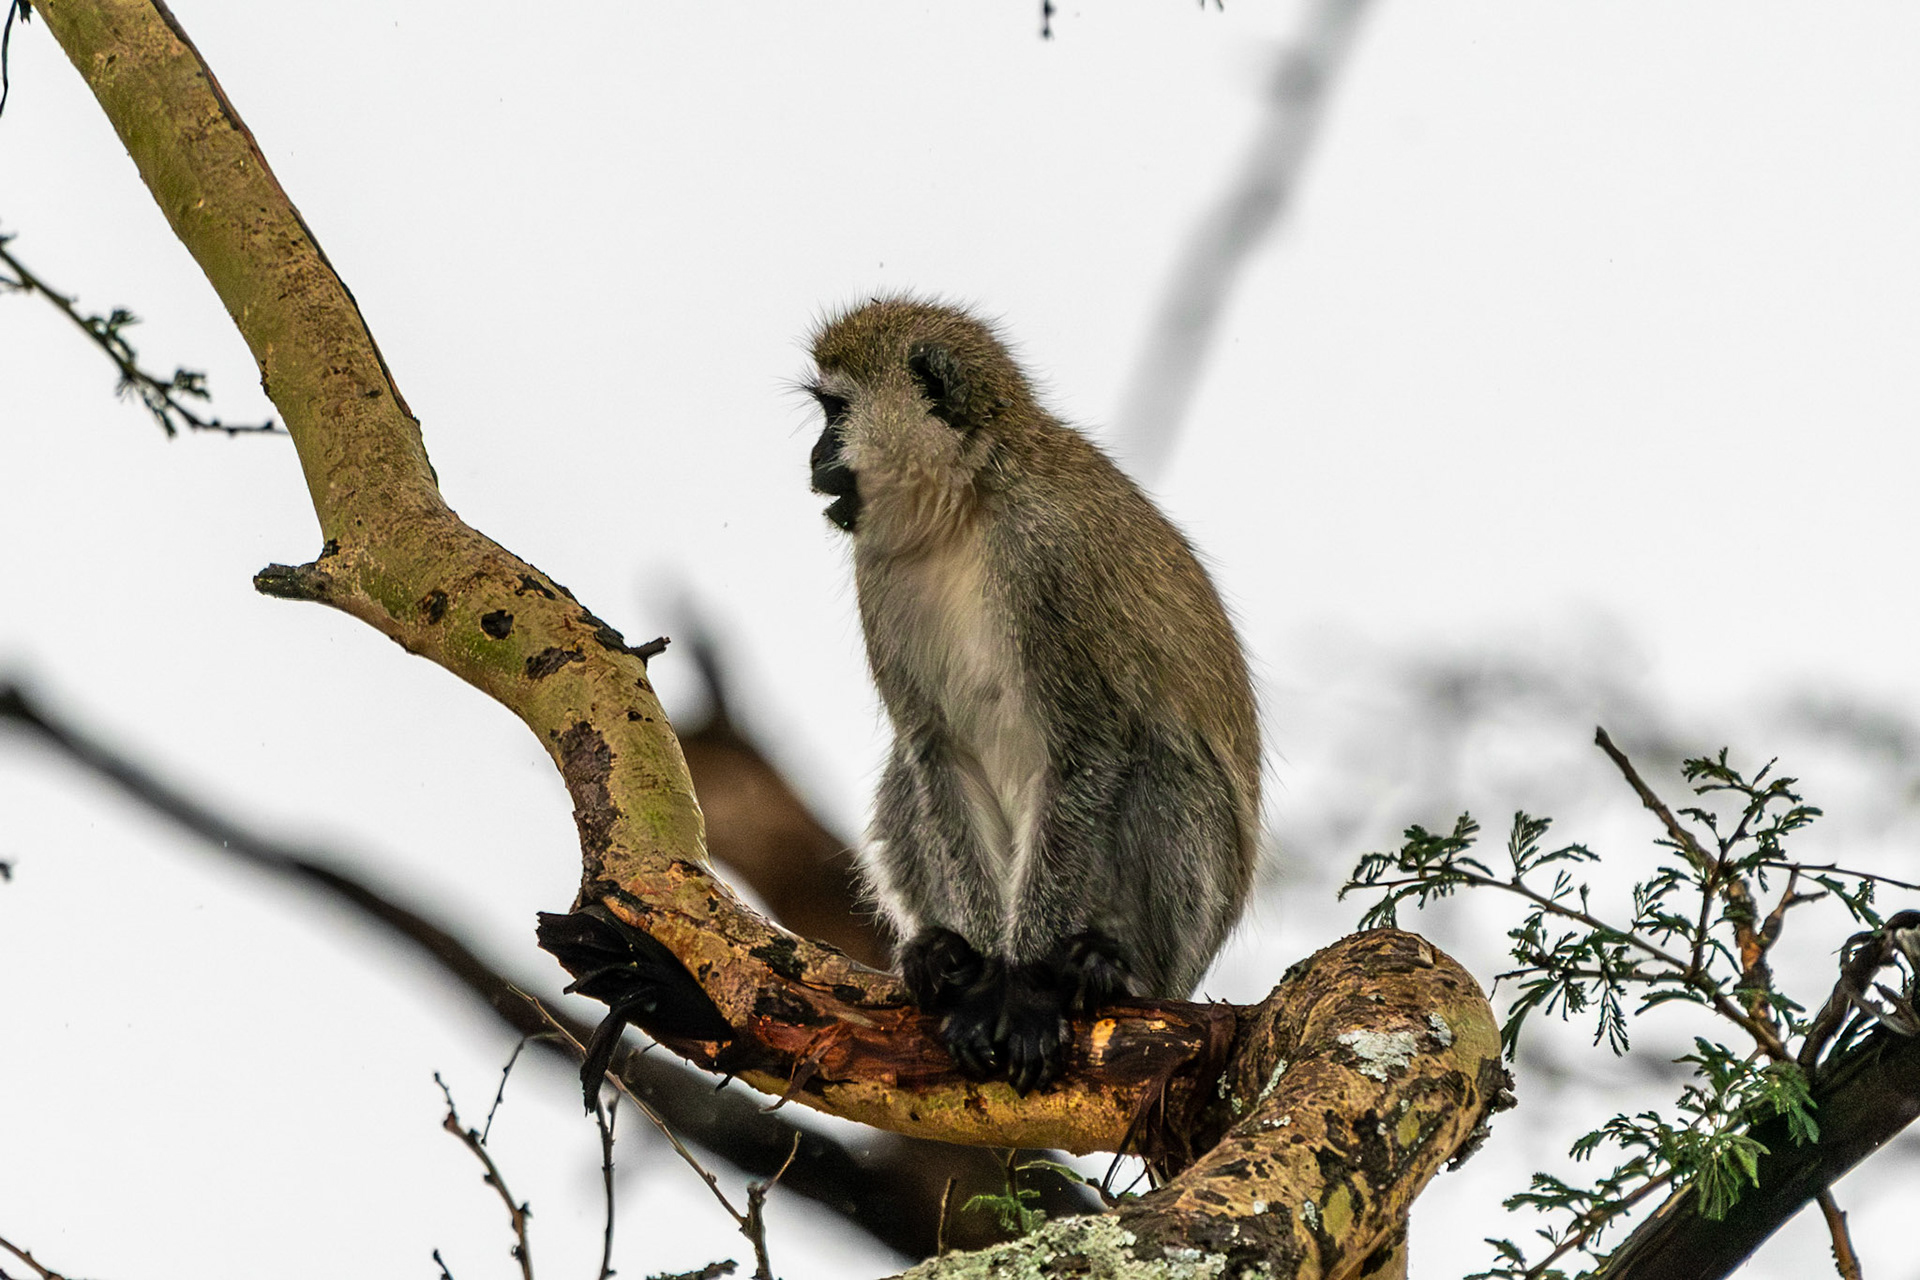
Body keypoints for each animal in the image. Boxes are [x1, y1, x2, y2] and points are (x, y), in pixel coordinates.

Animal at [806, 298, 1260, 1094]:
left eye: (836, 412)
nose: (811, 457)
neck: (964, 509)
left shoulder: (1051, 558)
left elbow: (1088, 747)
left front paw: (1021, 988)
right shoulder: (877, 575)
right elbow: (936, 753)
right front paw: (983, 971)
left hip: (1180, 946)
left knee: (1163, 760)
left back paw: (1109, 967)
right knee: (905, 776)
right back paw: (941, 951)